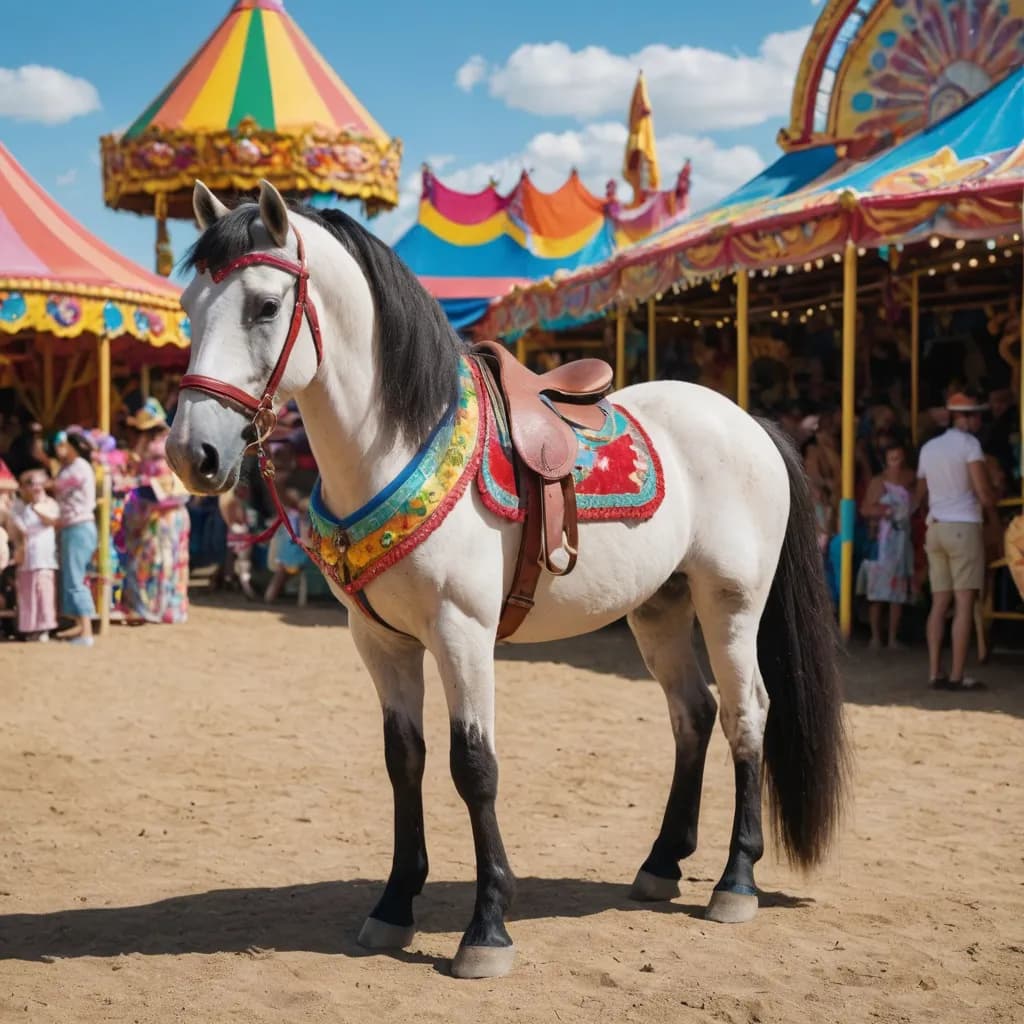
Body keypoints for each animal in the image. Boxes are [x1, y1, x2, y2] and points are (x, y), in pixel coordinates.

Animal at [167, 179, 849, 980]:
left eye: (267, 306)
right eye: (188, 305)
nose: (193, 454)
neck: (397, 442)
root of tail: (750, 423)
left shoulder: (462, 631)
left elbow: (474, 766)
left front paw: (486, 927)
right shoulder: (380, 641)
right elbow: (405, 762)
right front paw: (393, 904)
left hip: (731, 606)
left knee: (748, 716)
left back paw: (734, 881)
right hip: (659, 608)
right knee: (694, 715)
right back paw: (660, 864)